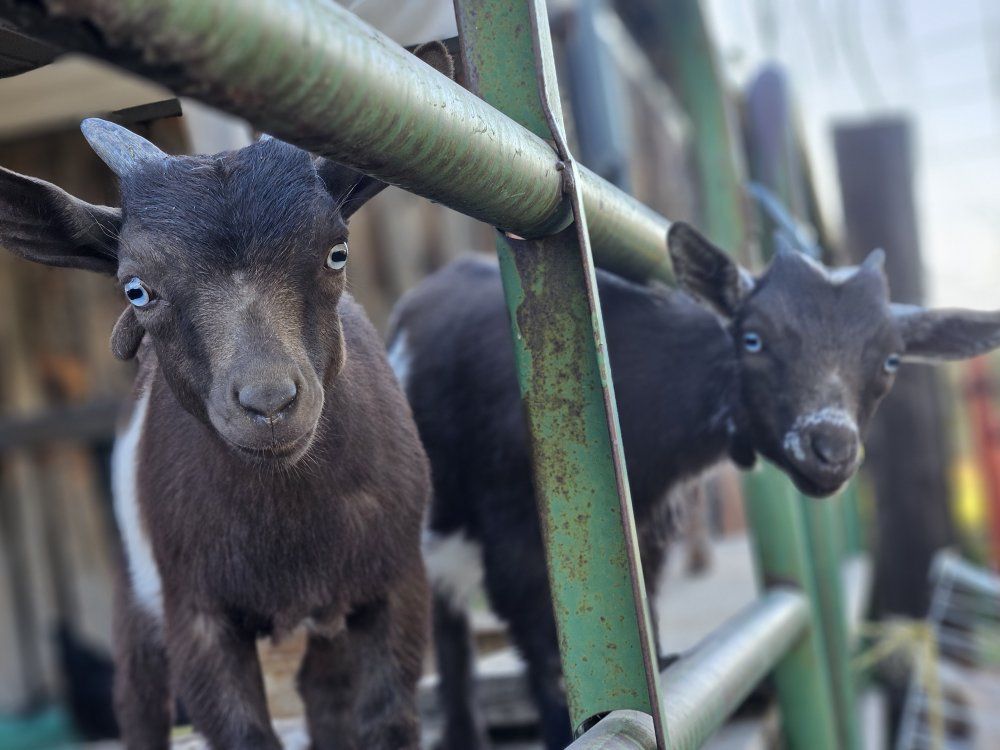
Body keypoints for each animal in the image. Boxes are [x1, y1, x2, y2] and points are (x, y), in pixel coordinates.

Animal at [0, 119, 431, 749]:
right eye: (136, 290)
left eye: (337, 252)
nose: (269, 403)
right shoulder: (196, 614)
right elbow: (242, 733)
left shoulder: (396, 582)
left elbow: (388, 720)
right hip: (136, 592)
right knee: (138, 703)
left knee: (324, 693)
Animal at [388, 223, 1000, 749]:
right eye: (752, 339)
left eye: (891, 360)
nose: (830, 449)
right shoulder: (516, 543)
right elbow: (550, 671)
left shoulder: (648, 536)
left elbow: (645, 645)